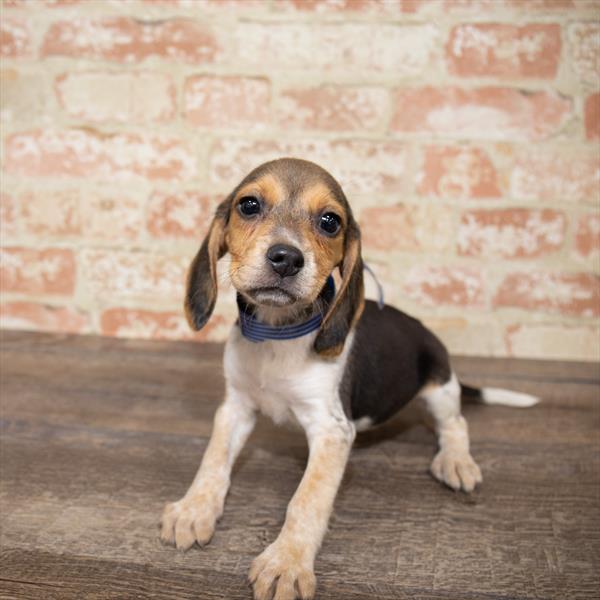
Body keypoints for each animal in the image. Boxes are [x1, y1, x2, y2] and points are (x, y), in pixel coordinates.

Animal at [161, 158, 540, 600]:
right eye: (249, 205)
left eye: (330, 221)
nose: (286, 258)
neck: (276, 335)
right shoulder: (235, 406)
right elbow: (213, 461)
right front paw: (194, 509)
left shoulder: (332, 431)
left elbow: (306, 500)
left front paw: (287, 561)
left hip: (440, 387)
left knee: (455, 424)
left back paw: (456, 462)